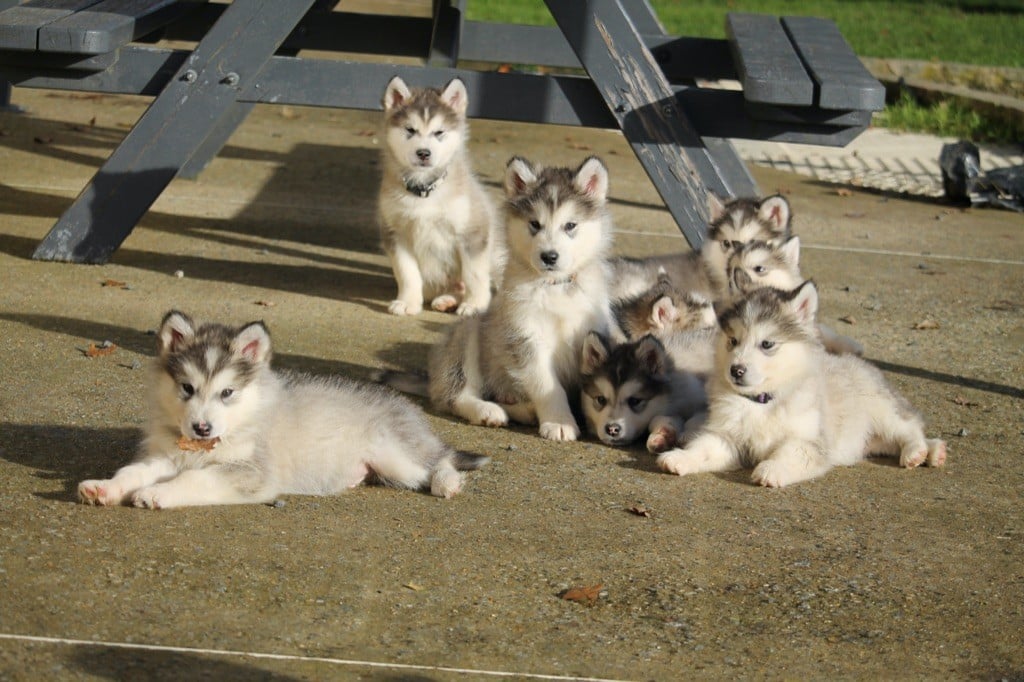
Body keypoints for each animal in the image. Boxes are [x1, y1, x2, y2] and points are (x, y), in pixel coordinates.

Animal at [77, 311, 485, 507]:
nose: (201, 429)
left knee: (440, 461)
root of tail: (405, 406)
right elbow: (132, 471)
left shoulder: (250, 472)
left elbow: (195, 479)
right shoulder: (164, 456)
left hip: (396, 457)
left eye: (227, 392)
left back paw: (447, 483)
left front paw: (157, 494)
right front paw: (104, 488)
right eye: (187, 388)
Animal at [376, 75, 503, 315]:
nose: (423, 153)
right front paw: (408, 302)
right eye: (410, 130)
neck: (424, 191)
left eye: (439, 132)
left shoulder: (472, 232)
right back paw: (447, 299)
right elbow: (407, 273)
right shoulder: (396, 233)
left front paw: (475, 304)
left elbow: (474, 274)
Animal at [425, 155, 614, 440]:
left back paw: (522, 409)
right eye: (534, 224)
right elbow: (548, 385)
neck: (555, 287)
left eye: (570, 225)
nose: (549, 256)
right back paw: (488, 410)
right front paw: (559, 422)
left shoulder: (589, 332)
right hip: (469, 331)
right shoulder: (525, 337)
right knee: (456, 396)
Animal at [659, 284, 946, 485]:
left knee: (910, 427)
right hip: (871, 439)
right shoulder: (727, 437)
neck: (762, 401)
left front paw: (771, 469)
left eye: (766, 344)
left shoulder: (809, 440)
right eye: (733, 341)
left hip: (883, 411)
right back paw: (934, 451)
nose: (736, 370)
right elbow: (704, 448)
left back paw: (918, 452)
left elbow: (791, 451)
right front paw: (680, 458)